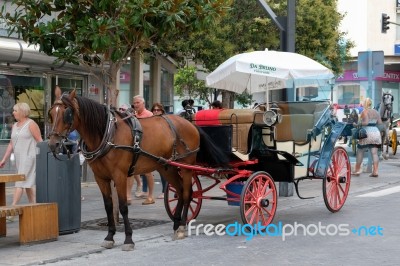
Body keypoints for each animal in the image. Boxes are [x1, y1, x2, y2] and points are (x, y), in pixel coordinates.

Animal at [47, 90, 228, 250]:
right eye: (51, 114)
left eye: (67, 114)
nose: (53, 144)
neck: (108, 134)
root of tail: (190, 123)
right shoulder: (101, 178)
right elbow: (108, 206)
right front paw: (109, 237)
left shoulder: (119, 176)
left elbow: (122, 207)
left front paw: (128, 239)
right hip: (167, 167)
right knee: (179, 191)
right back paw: (176, 225)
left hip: (186, 168)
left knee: (187, 193)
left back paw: (182, 226)